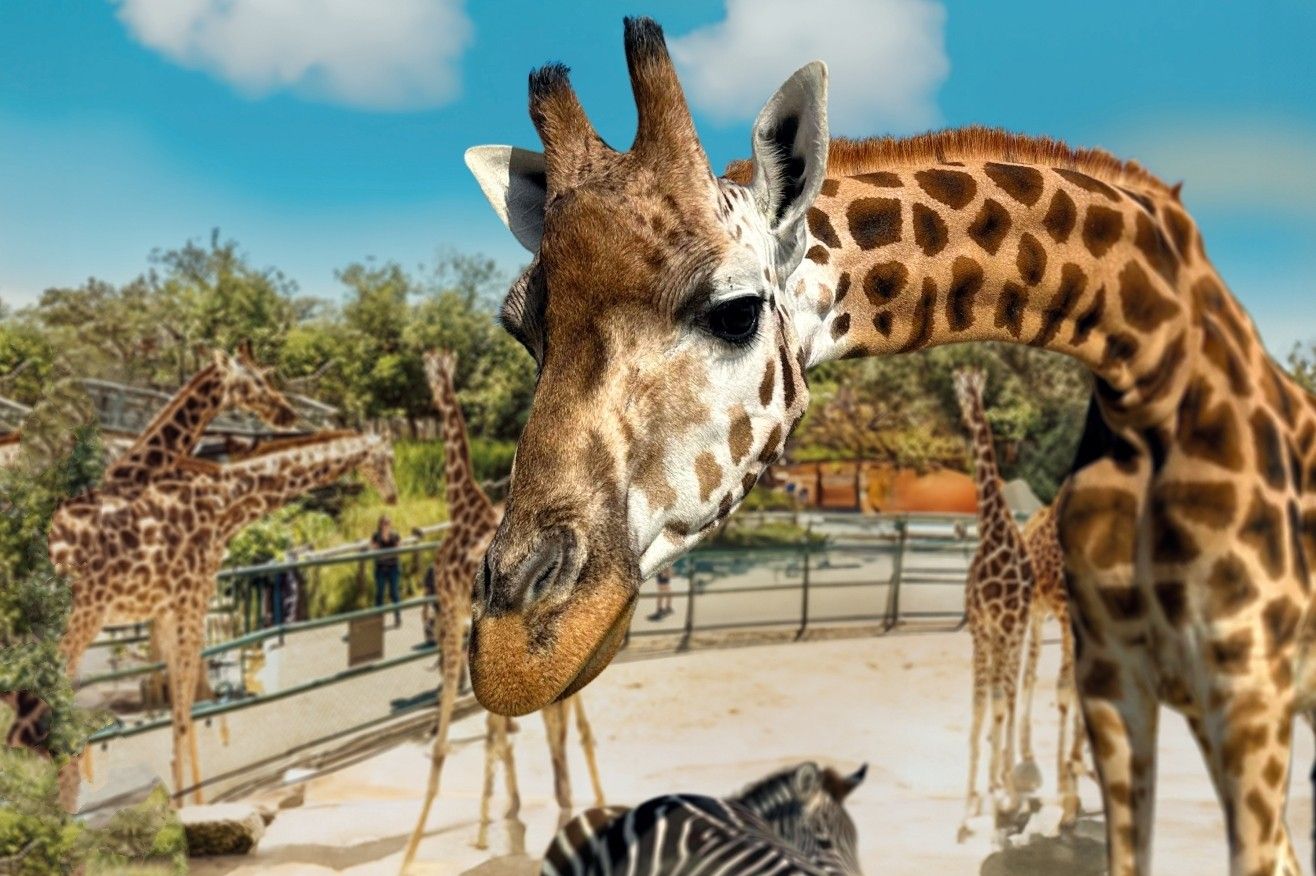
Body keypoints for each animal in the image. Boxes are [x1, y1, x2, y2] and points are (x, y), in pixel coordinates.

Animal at [49, 429, 396, 806]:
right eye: (388, 457)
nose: (393, 496)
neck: (224, 505)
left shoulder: (171, 609)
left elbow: (183, 708)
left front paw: (191, 796)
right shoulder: (191, 600)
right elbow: (185, 710)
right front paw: (185, 799)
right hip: (84, 613)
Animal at [400, 349, 604, 872]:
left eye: (432, 369)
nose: (432, 386)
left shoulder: (452, 611)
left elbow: (465, 732)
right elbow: (498, 726)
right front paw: (500, 814)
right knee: (568, 722)